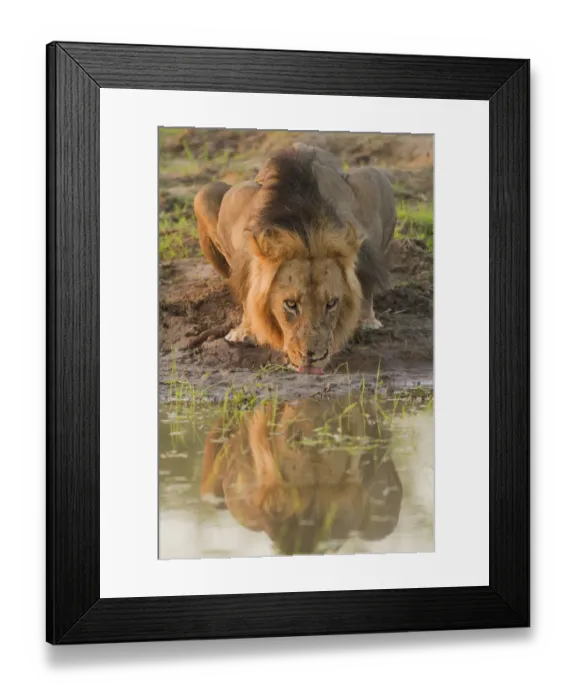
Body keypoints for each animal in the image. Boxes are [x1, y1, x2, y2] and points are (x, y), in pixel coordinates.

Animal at [194, 143, 397, 373]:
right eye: (290, 304)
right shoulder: (236, 207)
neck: (303, 227)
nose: (313, 358)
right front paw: (244, 331)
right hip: (203, 194)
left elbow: (365, 285)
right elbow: (247, 290)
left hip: (375, 178)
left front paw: (365, 321)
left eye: (331, 303)